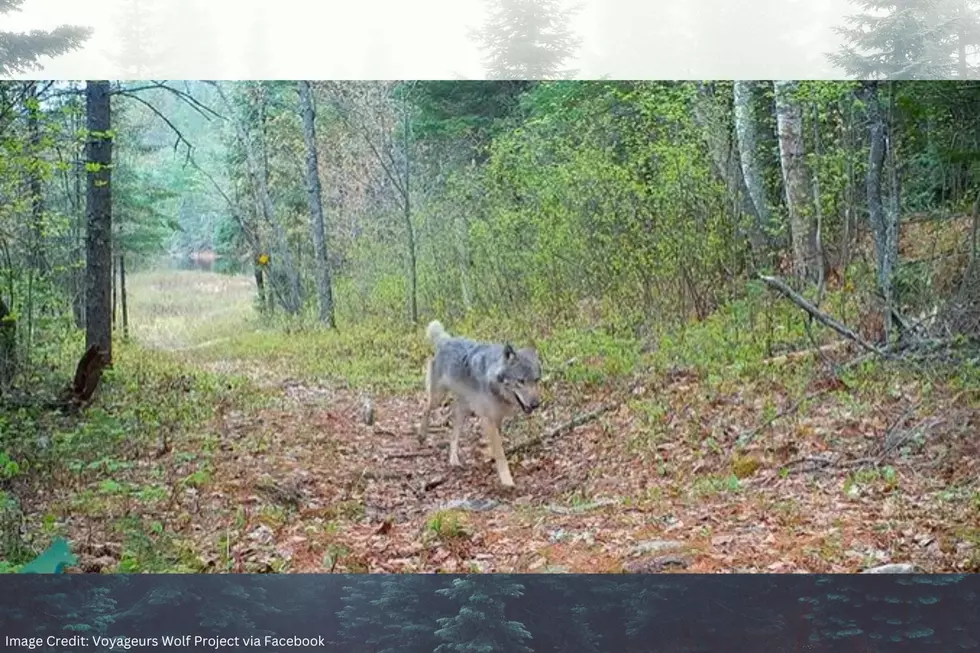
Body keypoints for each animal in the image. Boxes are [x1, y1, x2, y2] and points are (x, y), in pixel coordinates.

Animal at [418, 318, 544, 486]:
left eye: (536, 380)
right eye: (521, 381)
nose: (536, 404)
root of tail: (446, 340)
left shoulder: (496, 418)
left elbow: (496, 445)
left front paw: (488, 456)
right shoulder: (487, 419)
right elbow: (500, 454)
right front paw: (507, 481)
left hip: (462, 410)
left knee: (453, 434)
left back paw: (454, 460)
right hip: (438, 397)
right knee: (426, 408)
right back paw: (421, 436)